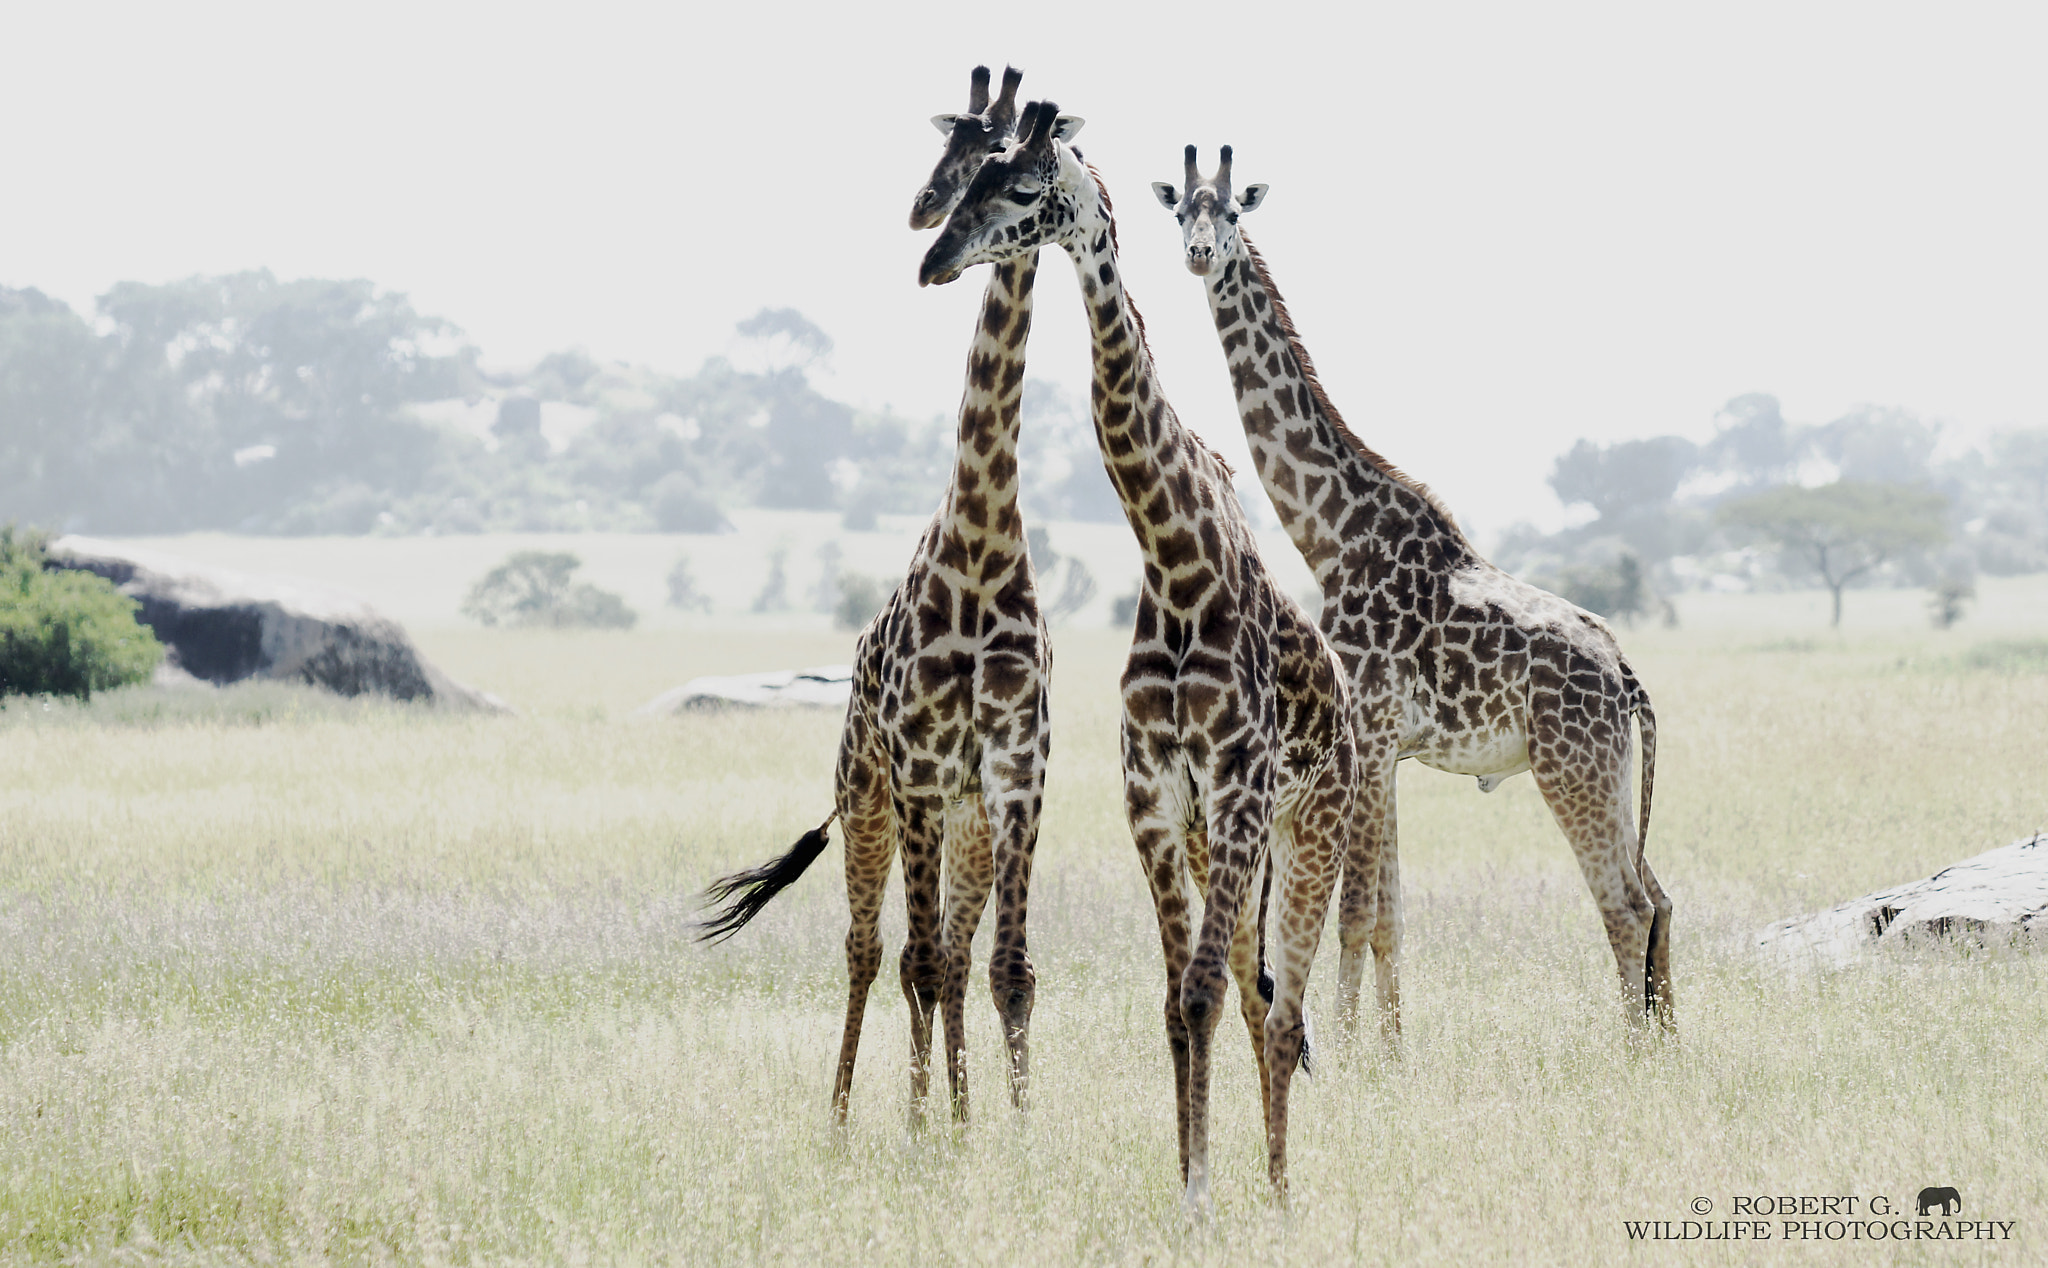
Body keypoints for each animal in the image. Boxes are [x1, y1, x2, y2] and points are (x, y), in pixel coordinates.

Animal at [700, 69, 1064, 1122]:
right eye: (949, 153)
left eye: (1000, 170)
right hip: (866, 798)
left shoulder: (1014, 771)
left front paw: (1000, 1126)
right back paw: (846, 1117)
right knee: (872, 952)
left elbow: (1005, 968)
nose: (923, 223)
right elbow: (917, 959)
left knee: (946, 955)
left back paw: (939, 1110)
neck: (982, 538)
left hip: (961, 817)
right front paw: (924, 1129)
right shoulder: (917, 769)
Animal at [921, 101, 1351, 1212]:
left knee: (1285, 1007)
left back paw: (1282, 1189)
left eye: (1021, 187)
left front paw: (1211, 1195)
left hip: (1311, 823)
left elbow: (1201, 994)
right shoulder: (1155, 793)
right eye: (971, 173)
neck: (1174, 557)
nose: (933, 256)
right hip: (1224, 837)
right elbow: (1177, 998)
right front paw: (1192, 1180)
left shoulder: (1236, 783)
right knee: (1253, 991)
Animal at [1146, 148, 1671, 1040]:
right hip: (1607, 768)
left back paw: (1634, 1055)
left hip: (1572, 765)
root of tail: (1628, 681)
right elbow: (1387, 914)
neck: (1329, 533)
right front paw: (1391, 1052)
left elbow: (1353, 913)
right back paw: (1668, 1045)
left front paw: (1351, 1052)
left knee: (1627, 907)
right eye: (1181, 209)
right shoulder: (1387, 748)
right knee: (1660, 898)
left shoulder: (1369, 726)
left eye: (1233, 213)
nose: (1199, 254)